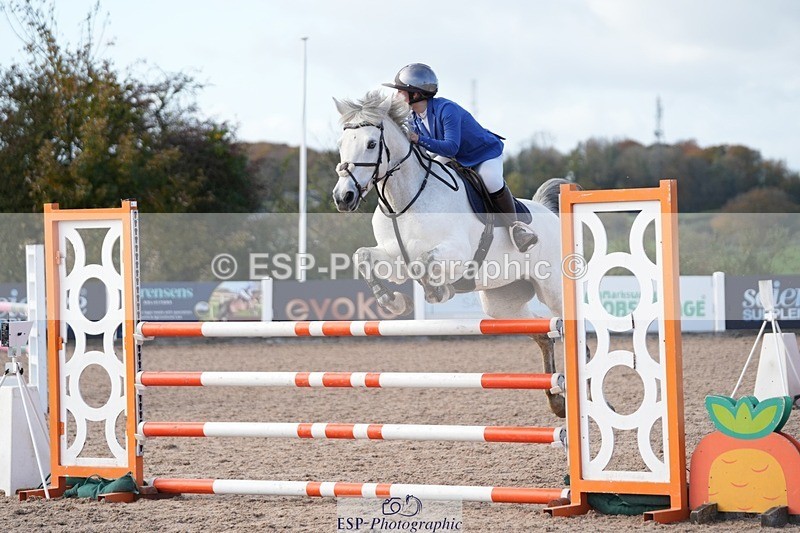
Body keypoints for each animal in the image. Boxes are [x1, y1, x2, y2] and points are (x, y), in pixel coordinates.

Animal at [332, 90, 569, 418]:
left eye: (370, 144)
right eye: (341, 144)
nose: (344, 197)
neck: (403, 202)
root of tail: (547, 211)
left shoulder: (456, 253)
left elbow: (425, 262)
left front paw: (439, 292)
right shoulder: (393, 259)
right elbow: (363, 257)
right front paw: (394, 302)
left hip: (552, 290)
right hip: (502, 304)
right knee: (543, 334)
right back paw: (557, 402)